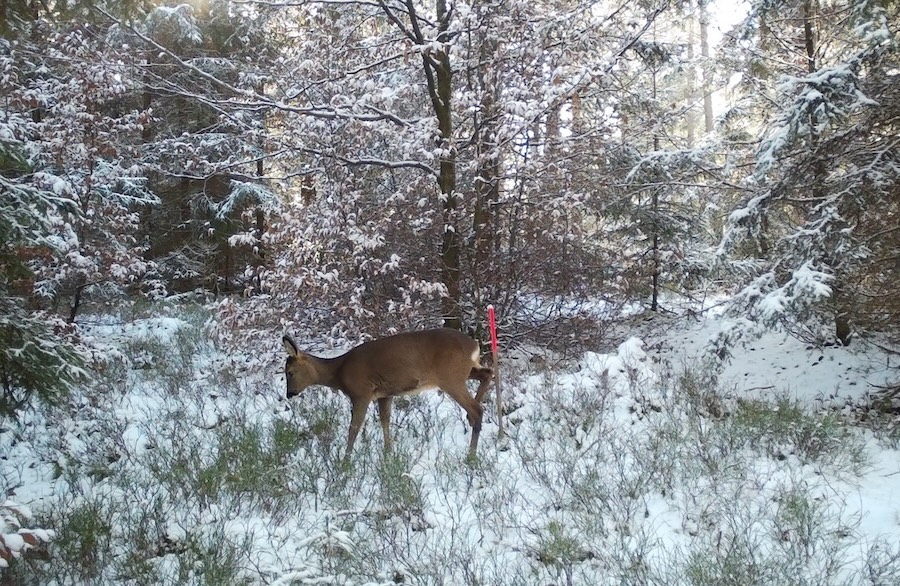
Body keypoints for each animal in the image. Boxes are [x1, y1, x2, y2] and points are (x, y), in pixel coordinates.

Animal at [282, 328, 493, 462]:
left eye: (290, 372)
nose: (289, 394)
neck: (340, 372)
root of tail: (474, 345)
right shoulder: (385, 394)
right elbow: (385, 420)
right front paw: (388, 454)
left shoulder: (361, 392)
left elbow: (354, 428)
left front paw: (345, 462)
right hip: (463, 372)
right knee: (487, 373)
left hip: (450, 377)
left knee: (477, 409)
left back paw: (471, 456)